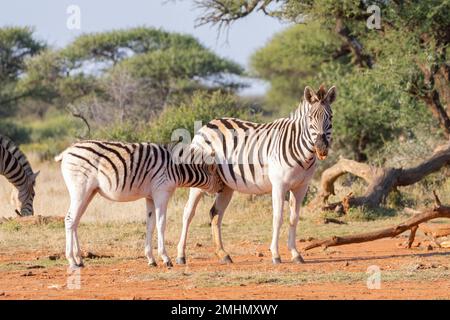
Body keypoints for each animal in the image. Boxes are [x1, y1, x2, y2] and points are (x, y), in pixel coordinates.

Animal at [55, 141, 224, 268]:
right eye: (217, 175)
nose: (223, 189)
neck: (176, 167)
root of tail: (67, 151)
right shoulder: (161, 192)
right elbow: (161, 224)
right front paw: (166, 258)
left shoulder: (150, 197)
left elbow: (150, 225)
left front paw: (151, 259)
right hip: (80, 190)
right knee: (69, 219)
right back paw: (71, 260)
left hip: (89, 192)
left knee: (75, 221)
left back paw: (79, 259)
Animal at [178, 85, 336, 264]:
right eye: (310, 118)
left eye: (330, 117)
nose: (321, 148)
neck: (303, 153)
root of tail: (209, 124)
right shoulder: (279, 185)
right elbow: (278, 217)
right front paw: (275, 254)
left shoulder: (301, 187)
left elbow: (294, 218)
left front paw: (295, 254)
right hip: (199, 180)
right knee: (188, 212)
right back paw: (181, 255)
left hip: (226, 185)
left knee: (215, 214)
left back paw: (223, 254)